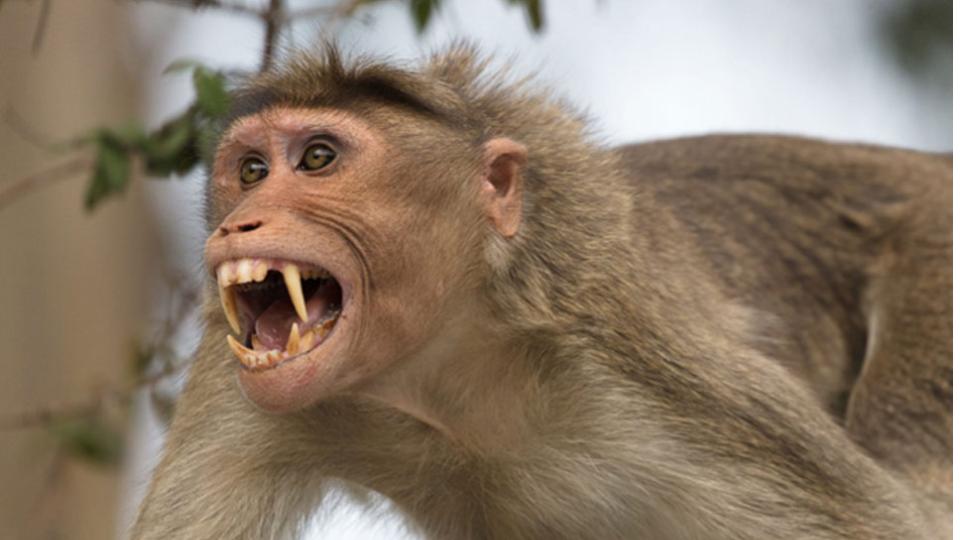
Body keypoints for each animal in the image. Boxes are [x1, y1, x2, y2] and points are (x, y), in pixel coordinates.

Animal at [132, 44, 951, 539]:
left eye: (318, 158)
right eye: (250, 172)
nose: (239, 222)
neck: (445, 373)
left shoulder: (642, 357)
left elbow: (885, 520)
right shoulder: (232, 387)